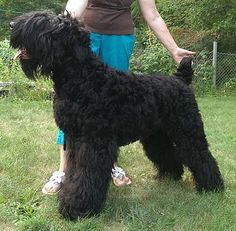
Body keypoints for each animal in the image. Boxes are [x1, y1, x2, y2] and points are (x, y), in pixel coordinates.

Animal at [10, 11, 224, 220]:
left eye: (45, 22)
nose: (12, 25)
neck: (84, 78)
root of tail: (180, 80)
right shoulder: (74, 140)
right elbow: (73, 171)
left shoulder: (93, 142)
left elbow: (86, 174)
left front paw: (77, 208)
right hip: (156, 136)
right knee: (167, 152)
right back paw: (170, 175)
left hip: (188, 130)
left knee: (201, 155)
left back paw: (212, 187)